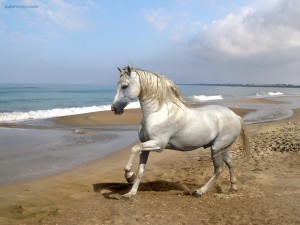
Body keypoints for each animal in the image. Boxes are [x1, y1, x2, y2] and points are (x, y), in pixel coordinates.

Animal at [111, 66, 250, 200]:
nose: (114, 108)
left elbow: (134, 149)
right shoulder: (146, 146)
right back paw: (233, 188)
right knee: (230, 164)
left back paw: (200, 191)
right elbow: (140, 170)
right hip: (223, 148)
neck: (158, 112)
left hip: (216, 149)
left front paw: (129, 176)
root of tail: (236, 116)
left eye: (124, 86)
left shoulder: (158, 144)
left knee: (218, 169)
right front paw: (130, 193)